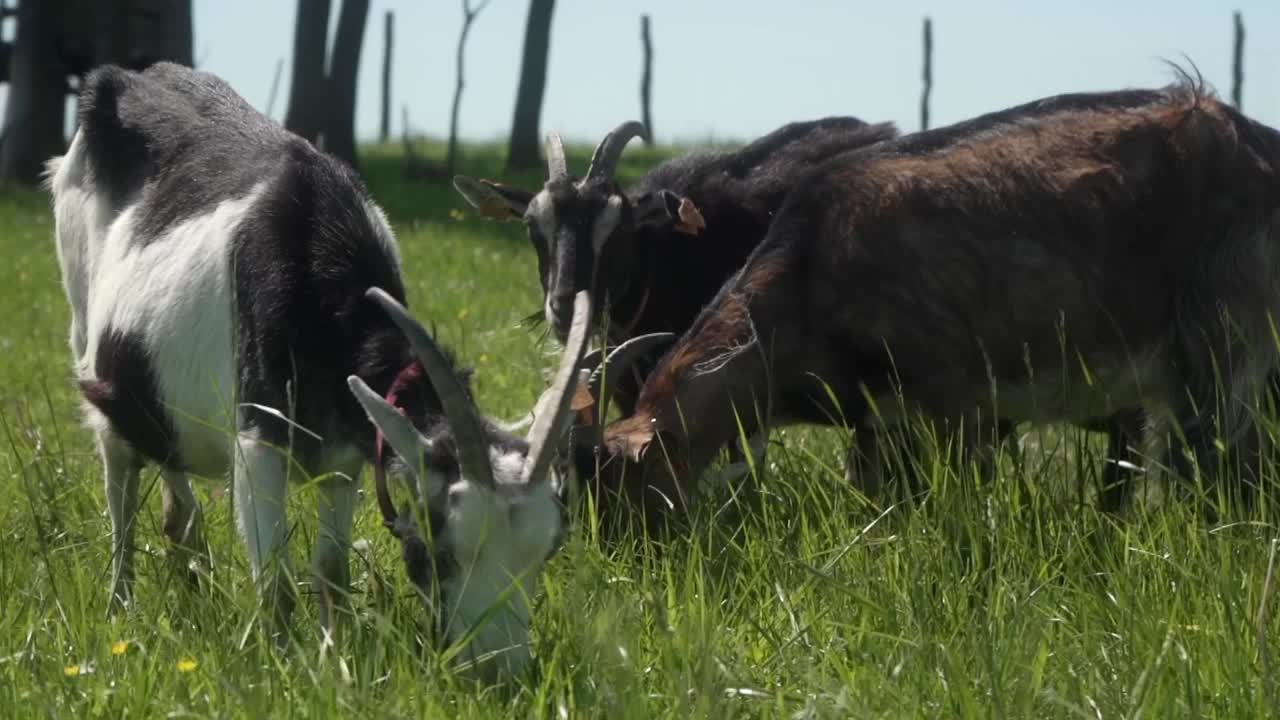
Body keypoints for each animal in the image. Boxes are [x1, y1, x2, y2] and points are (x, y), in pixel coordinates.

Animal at [46, 60, 593, 671]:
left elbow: (331, 571)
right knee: (119, 484)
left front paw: (336, 665)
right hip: (91, 347)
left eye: (548, 549)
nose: (498, 671)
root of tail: (122, 78)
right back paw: (121, 606)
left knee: (173, 482)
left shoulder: (347, 459)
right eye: (440, 544)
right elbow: (275, 581)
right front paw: (281, 667)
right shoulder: (258, 442)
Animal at [591, 81, 1280, 520]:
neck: (806, 272)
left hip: (1226, 341)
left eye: (622, 487)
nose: (625, 563)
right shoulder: (881, 423)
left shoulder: (956, 400)